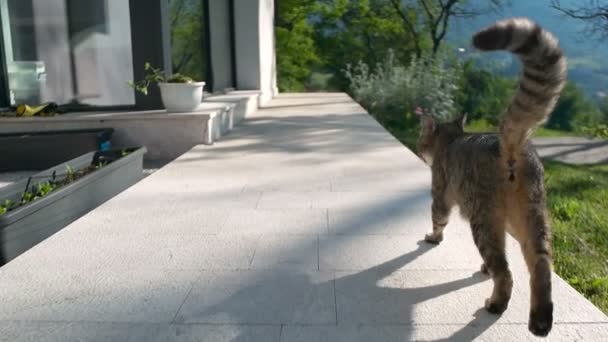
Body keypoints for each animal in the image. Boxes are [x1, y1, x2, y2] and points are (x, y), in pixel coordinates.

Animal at [418, 16, 564, 336]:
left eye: (422, 140)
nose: (420, 148)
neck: (451, 140)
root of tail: (511, 143)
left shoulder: (440, 192)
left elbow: (438, 220)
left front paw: (433, 237)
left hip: (483, 217)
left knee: (505, 271)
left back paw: (496, 304)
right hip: (531, 216)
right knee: (540, 265)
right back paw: (540, 320)